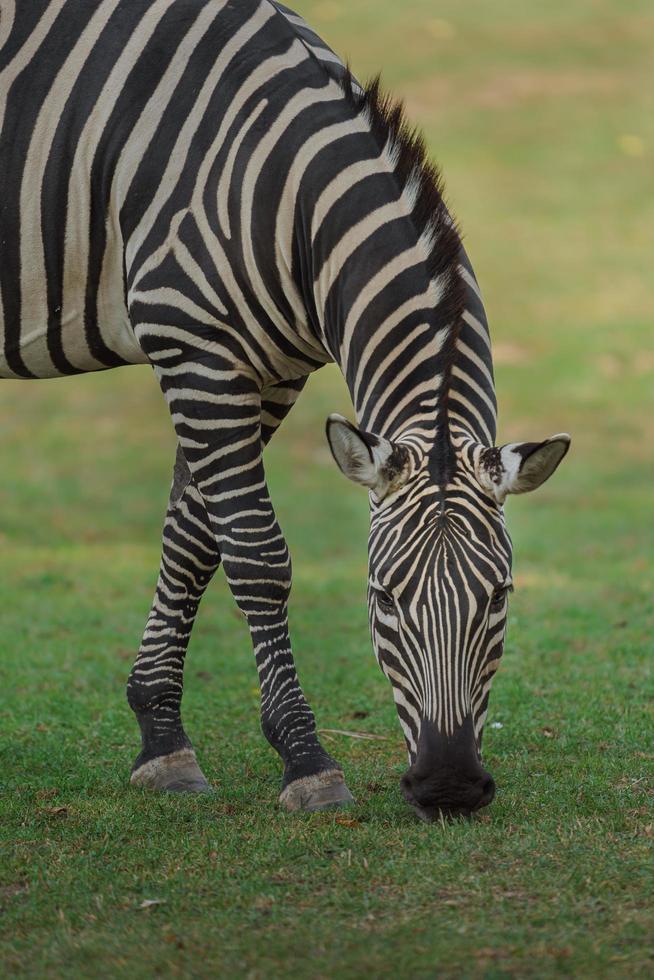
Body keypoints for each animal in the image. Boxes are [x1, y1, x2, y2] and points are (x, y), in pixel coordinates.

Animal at [0, 1, 572, 820]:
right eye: (382, 597)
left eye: (500, 596)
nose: (450, 787)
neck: (287, 199)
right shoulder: (194, 350)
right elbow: (255, 554)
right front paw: (306, 760)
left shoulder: (268, 373)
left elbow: (193, 540)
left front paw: (161, 739)